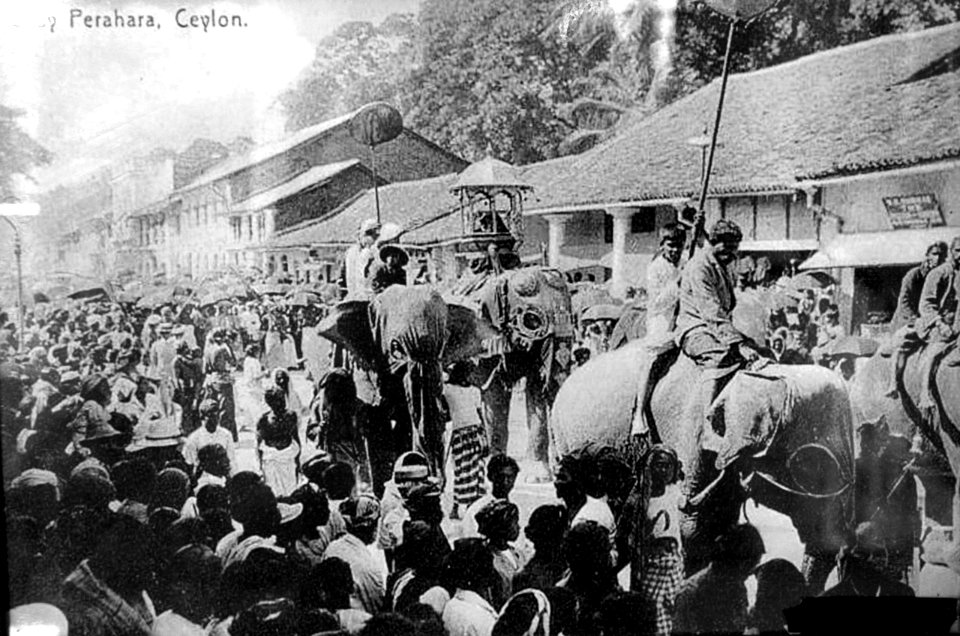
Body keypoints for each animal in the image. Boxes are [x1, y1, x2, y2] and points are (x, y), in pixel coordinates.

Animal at [316, 286, 496, 480]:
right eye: (396, 349)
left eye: (443, 345)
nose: (435, 477)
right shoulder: (365, 370)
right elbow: (376, 424)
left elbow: (405, 425)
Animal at [446, 262, 572, 476]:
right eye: (532, 320)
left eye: (572, 316)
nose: (560, 466)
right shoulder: (487, 339)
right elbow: (496, 394)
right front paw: (498, 469)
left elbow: (536, 388)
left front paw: (538, 476)